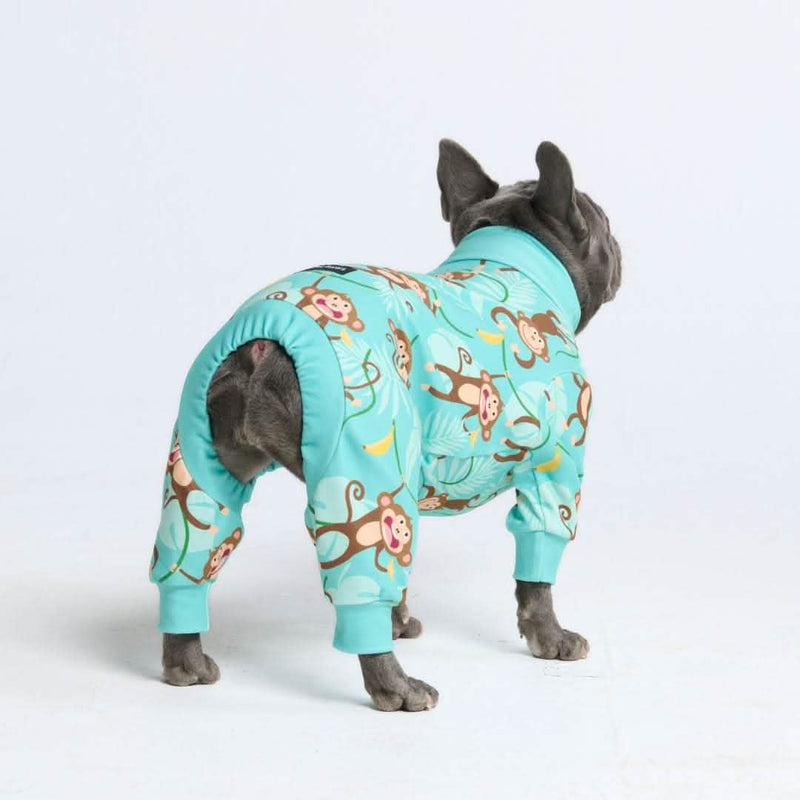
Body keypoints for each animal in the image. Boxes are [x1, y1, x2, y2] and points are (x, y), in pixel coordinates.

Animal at [152, 139, 622, 711]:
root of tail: (264, 342)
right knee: (360, 587)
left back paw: (185, 664)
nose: (618, 239)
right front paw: (552, 640)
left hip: (200, 466)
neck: (512, 267)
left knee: (189, 559)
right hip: (363, 461)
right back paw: (396, 687)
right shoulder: (554, 469)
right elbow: (537, 577)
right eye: (601, 219)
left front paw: (400, 623)